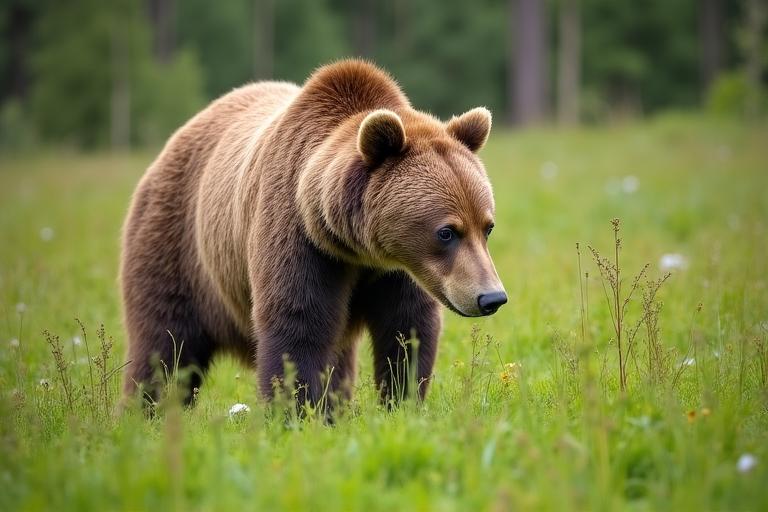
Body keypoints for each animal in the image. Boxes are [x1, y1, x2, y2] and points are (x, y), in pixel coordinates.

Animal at [120, 59, 506, 408]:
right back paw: (145, 411)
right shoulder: (299, 238)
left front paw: (402, 401)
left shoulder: (400, 272)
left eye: (487, 226)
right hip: (176, 248)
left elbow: (406, 328)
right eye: (446, 232)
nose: (491, 297)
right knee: (165, 344)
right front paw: (294, 411)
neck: (357, 250)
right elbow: (297, 325)